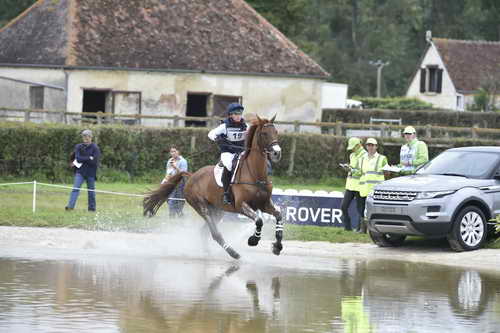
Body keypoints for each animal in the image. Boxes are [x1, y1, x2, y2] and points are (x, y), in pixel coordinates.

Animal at [143, 115, 284, 258]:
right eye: (264, 133)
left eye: (276, 132)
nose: (277, 153)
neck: (255, 174)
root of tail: (191, 175)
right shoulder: (241, 205)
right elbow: (259, 220)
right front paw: (253, 240)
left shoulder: (264, 204)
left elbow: (279, 215)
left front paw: (277, 246)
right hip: (202, 208)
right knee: (214, 233)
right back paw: (233, 253)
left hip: (217, 210)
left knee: (204, 231)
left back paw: (208, 252)